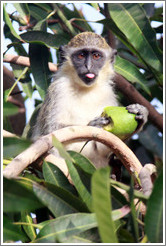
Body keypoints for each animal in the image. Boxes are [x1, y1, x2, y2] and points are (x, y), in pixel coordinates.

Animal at [31, 31, 148, 168]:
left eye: (96, 56)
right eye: (81, 55)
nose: (88, 66)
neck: (85, 89)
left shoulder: (108, 93)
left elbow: (107, 146)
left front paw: (141, 115)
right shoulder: (58, 89)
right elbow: (48, 133)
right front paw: (93, 125)